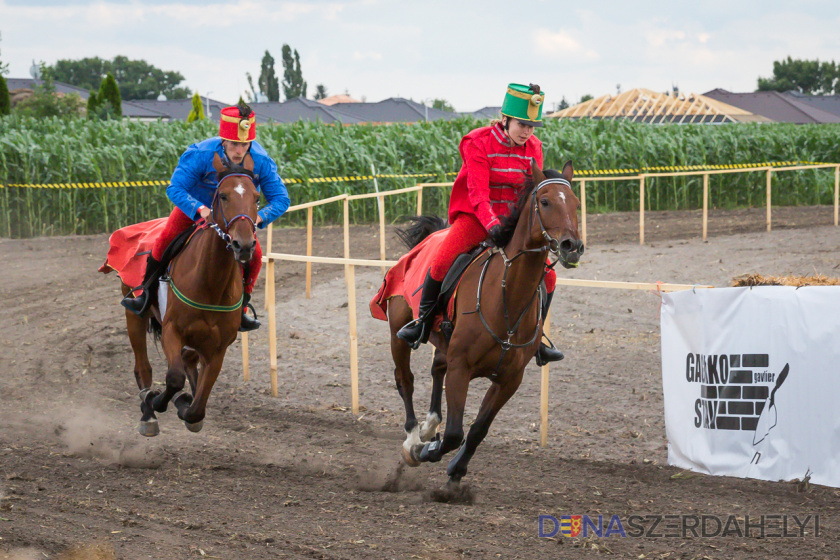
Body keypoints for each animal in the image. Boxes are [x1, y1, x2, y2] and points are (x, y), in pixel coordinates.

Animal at [122, 154, 260, 438]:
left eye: (256, 197)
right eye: (224, 196)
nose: (243, 245)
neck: (210, 283)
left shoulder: (218, 346)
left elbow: (198, 405)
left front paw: (187, 405)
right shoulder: (172, 330)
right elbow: (174, 378)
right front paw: (161, 400)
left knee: (187, 361)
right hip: (134, 315)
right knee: (143, 366)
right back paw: (148, 413)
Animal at [384, 161, 580, 490]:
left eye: (576, 203)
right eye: (545, 201)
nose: (572, 246)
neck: (506, 299)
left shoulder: (509, 379)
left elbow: (478, 429)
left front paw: (455, 471)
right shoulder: (461, 367)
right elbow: (454, 433)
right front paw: (427, 451)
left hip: (444, 342)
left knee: (436, 369)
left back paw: (429, 425)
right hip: (398, 333)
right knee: (405, 380)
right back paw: (413, 439)